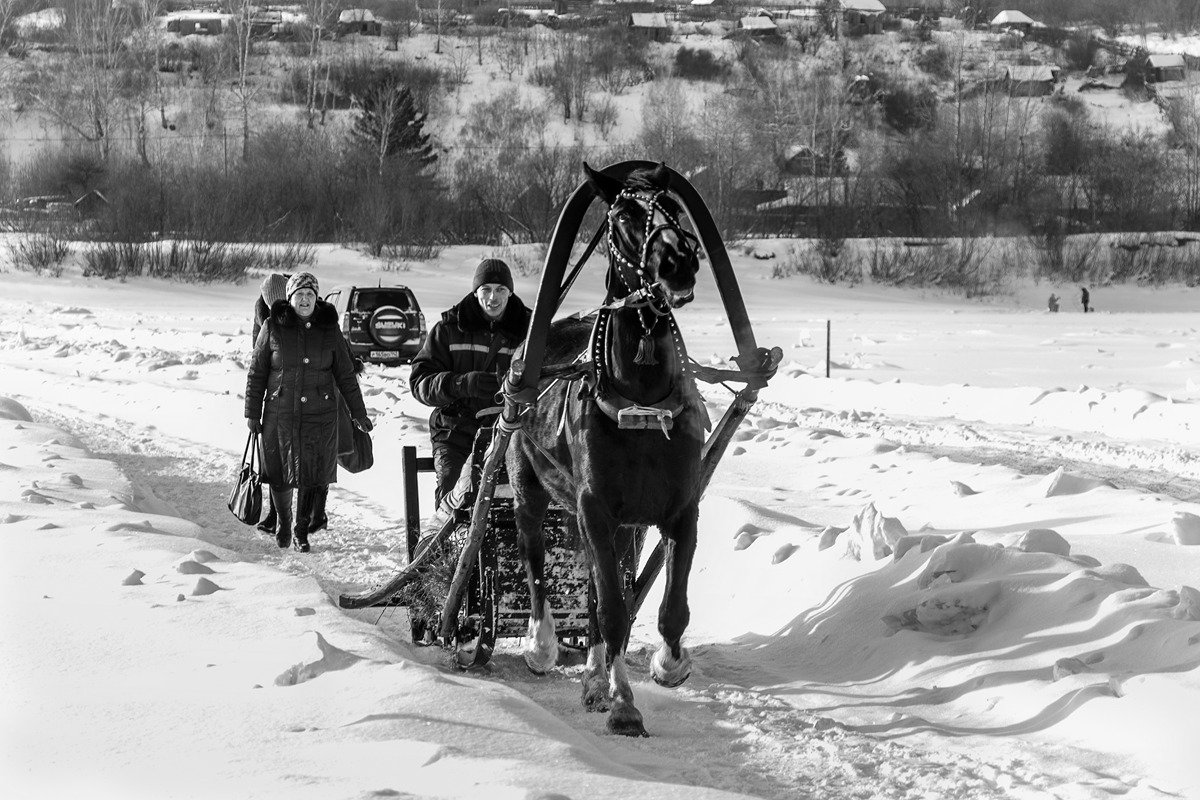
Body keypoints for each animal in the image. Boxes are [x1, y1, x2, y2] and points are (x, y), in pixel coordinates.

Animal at [504, 163, 700, 738]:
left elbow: (667, 608)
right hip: (529, 489)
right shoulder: (595, 508)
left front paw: (667, 664)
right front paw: (623, 704)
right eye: (623, 216)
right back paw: (543, 645)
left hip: (603, 522)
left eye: (673, 208)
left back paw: (592, 676)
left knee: (594, 583)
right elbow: (614, 608)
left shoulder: (678, 509)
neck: (640, 400)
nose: (678, 261)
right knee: (534, 555)